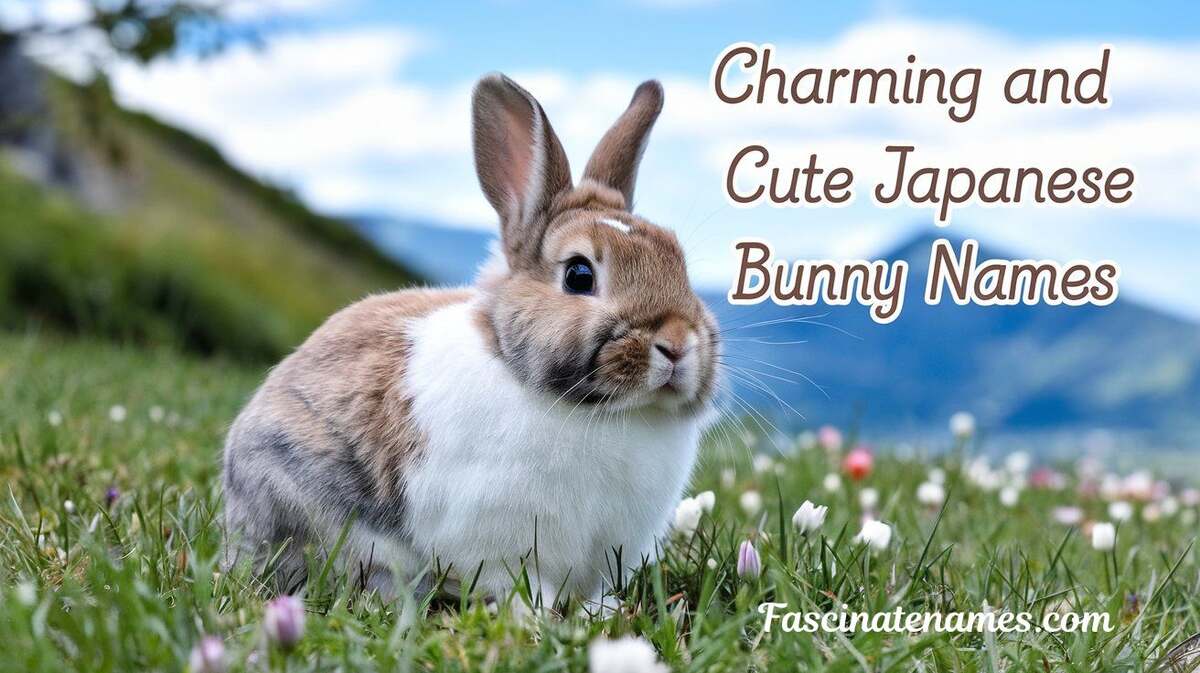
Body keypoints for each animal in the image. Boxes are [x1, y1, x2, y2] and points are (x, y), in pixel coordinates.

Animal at [221, 73, 720, 610]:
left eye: (678, 260)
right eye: (579, 274)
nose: (677, 343)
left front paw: (599, 612)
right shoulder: (501, 544)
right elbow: (526, 587)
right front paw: (544, 617)